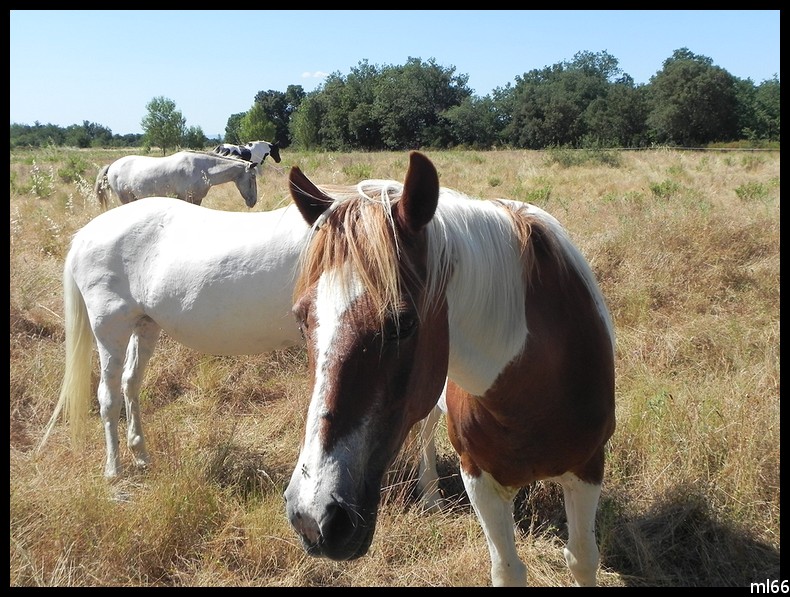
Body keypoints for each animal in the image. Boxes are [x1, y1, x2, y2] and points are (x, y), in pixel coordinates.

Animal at [94, 150, 258, 211]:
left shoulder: (197, 199)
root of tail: (112, 166)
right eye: (253, 177)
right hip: (126, 198)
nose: (253, 202)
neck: (203, 169)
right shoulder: (186, 198)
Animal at [284, 151, 620, 584]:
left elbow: (581, 558)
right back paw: (430, 497)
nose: (313, 518)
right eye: (301, 320)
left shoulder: (588, 468)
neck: (535, 387)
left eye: (404, 324)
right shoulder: (478, 477)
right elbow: (507, 569)